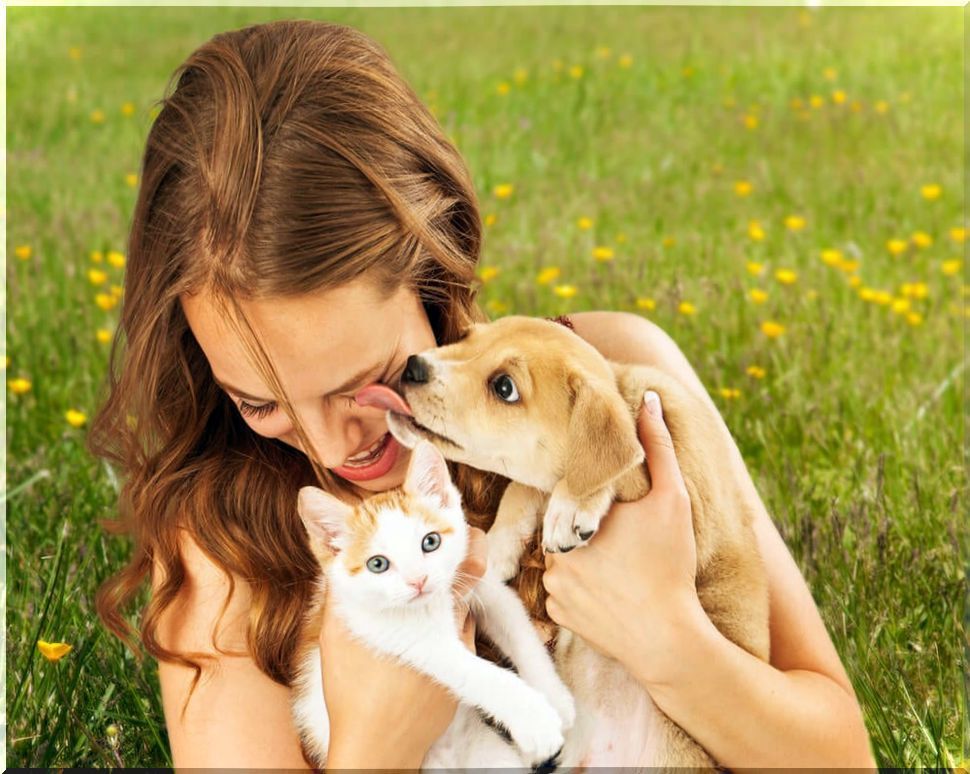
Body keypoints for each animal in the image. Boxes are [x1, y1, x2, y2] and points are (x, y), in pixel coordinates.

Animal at [292, 440, 572, 772]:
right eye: (377, 564)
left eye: (431, 542)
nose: (418, 580)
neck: (433, 603)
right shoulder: (402, 637)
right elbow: (475, 672)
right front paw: (535, 721)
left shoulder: (483, 586)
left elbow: (521, 635)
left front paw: (556, 698)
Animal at [382, 316, 768, 768]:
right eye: (465, 338)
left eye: (504, 387)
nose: (413, 366)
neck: (624, 391)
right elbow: (525, 487)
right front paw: (499, 548)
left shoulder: (675, 485)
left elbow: (612, 469)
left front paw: (571, 507)